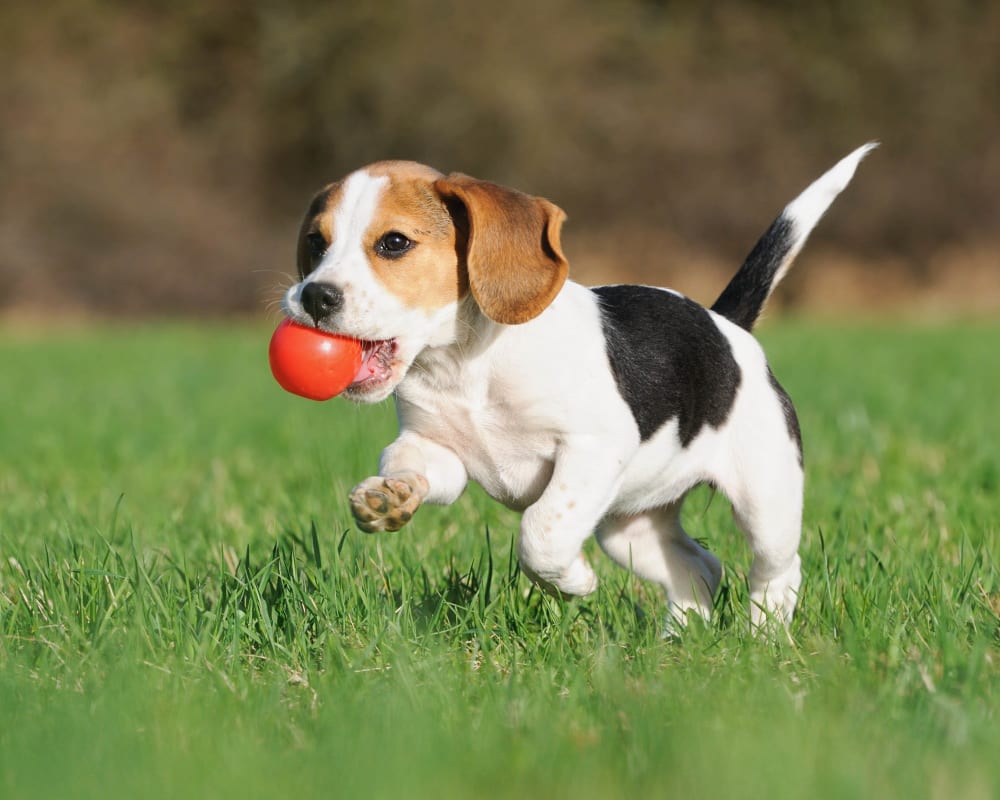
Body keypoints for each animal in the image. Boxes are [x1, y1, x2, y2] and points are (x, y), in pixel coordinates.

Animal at [282, 144, 876, 632]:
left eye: (394, 243)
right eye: (315, 242)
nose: (313, 296)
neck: (466, 365)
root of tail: (724, 323)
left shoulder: (593, 448)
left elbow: (541, 532)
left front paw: (574, 582)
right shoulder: (438, 450)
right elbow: (409, 463)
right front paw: (389, 497)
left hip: (765, 500)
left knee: (777, 571)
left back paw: (764, 639)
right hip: (630, 527)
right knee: (700, 568)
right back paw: (678, 643)